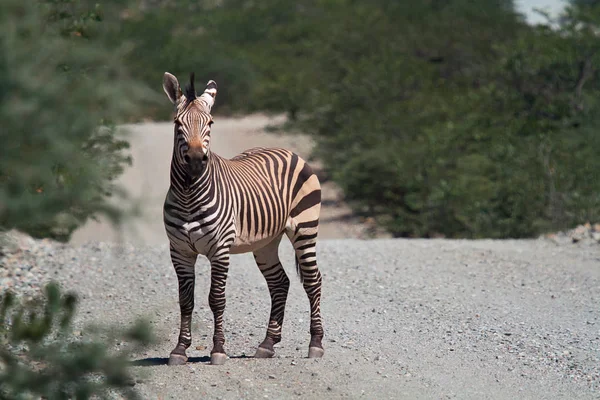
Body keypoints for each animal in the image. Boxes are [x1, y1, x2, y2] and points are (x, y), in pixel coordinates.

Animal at [161, 72, 324, 366]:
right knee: (280, 283)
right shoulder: (179, 251)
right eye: (178, 123)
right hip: (266, 242)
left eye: (210, 123)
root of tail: (286, 150)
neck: (189, 195)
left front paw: (218, 350)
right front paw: (179, 350)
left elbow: (216, 299)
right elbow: (185, 300)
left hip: (305, 229)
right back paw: (267, 344)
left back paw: (315, 343)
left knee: (312, 280)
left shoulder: (219, 249)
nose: (195, 160)